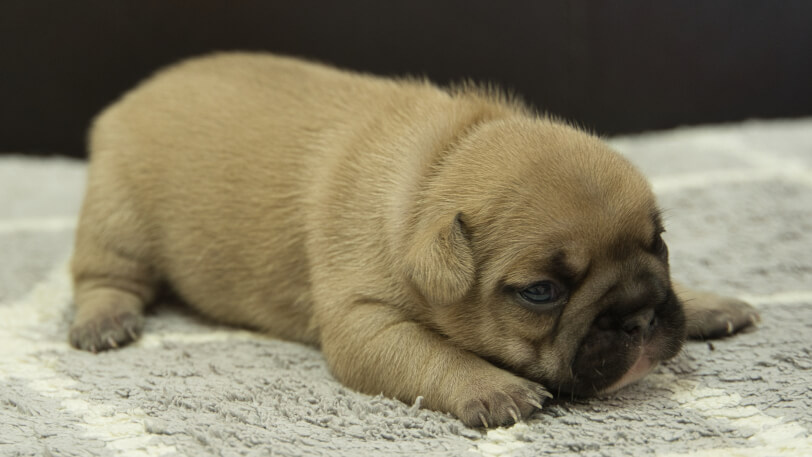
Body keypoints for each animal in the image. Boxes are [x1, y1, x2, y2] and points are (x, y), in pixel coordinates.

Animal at [70, 51, 760, 426]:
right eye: (540, 292)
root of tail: (131, 98)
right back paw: (104, 319)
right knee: (104, 275)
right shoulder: (363, 323)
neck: (441, 164)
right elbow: (431, 354)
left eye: (660, 244)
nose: (640, 316)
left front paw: (707, 302)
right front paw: (494, 388)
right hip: (117, 214)